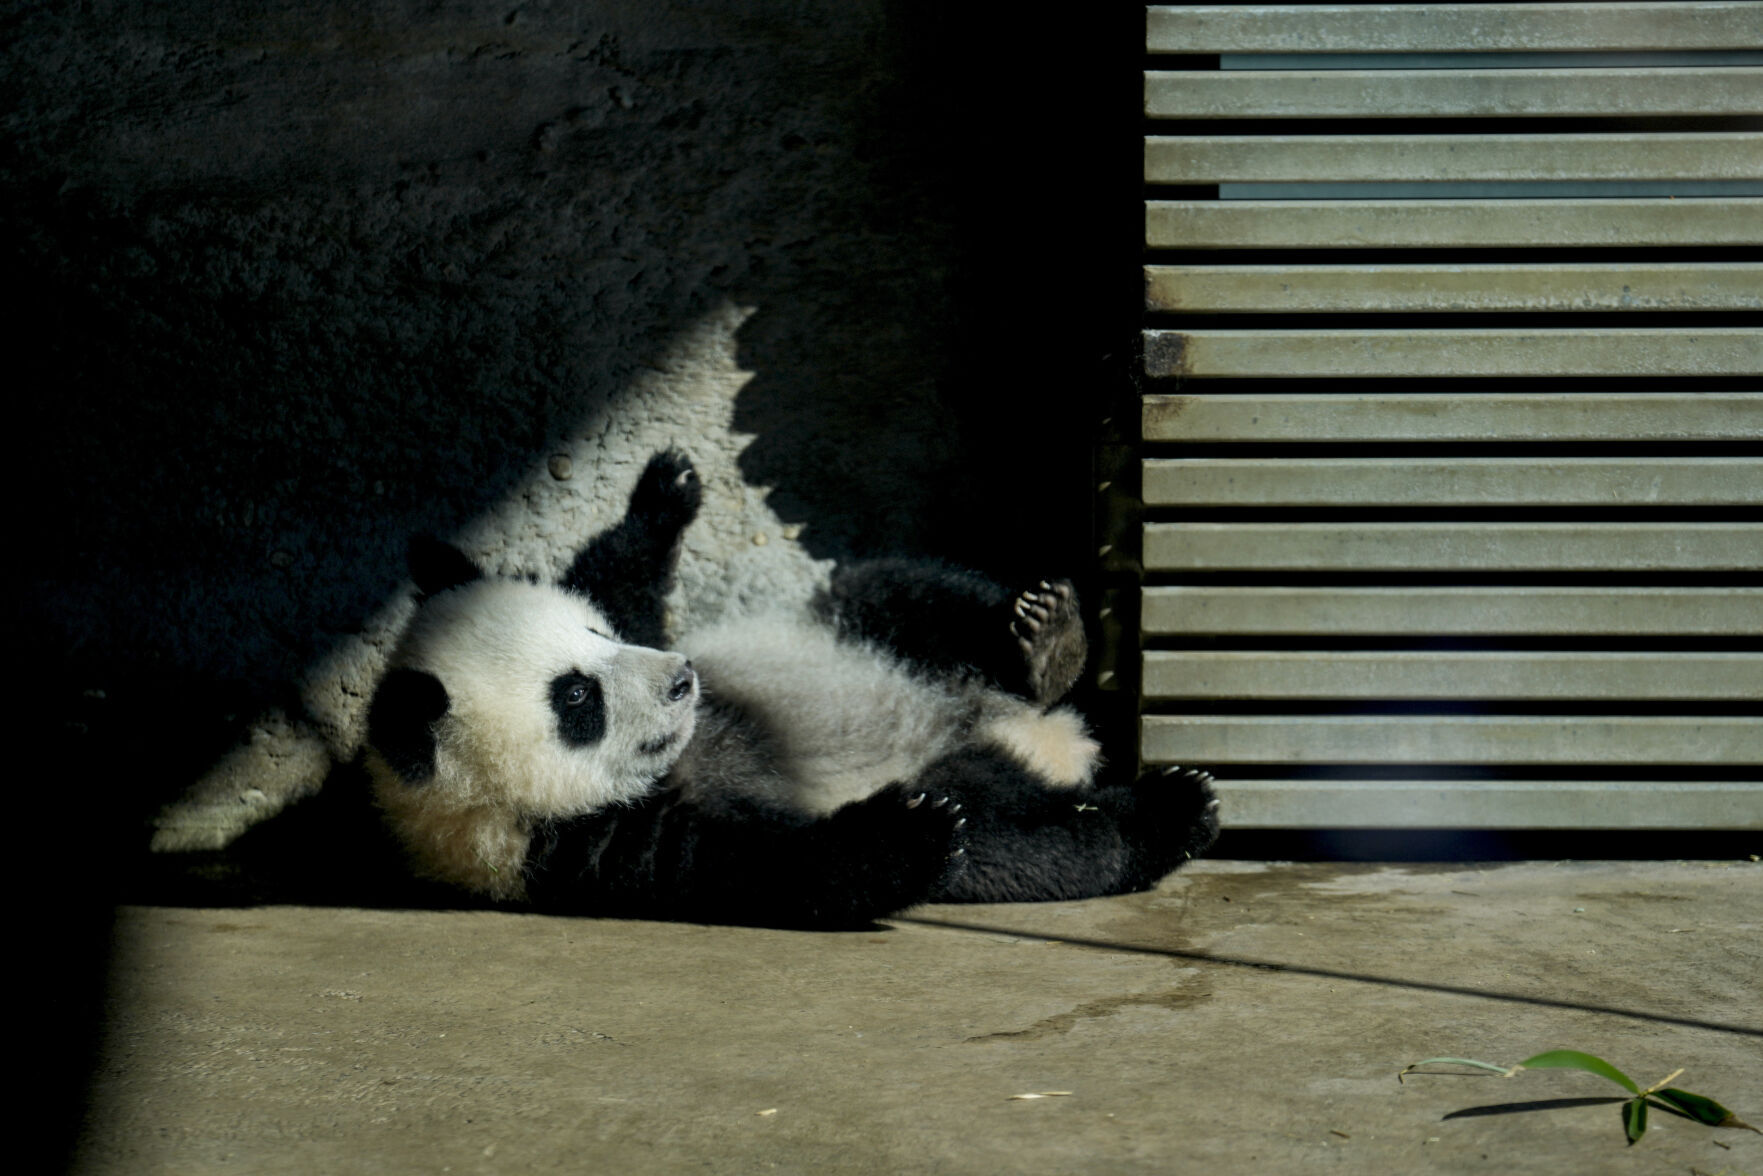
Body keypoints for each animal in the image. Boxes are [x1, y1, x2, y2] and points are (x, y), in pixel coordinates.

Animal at [364, 449, 1219, 928]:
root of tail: (1038, 737)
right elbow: (772, 868)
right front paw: (903, 834)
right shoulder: (581, 846)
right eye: (576, 699)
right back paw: (1167, 810)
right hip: (969, 779)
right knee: (1020, 840)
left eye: (596, 636)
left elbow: (622, 579)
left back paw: (1047, 644)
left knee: (901, 593)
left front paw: (663, 494)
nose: (682, 679)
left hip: (844, 627)